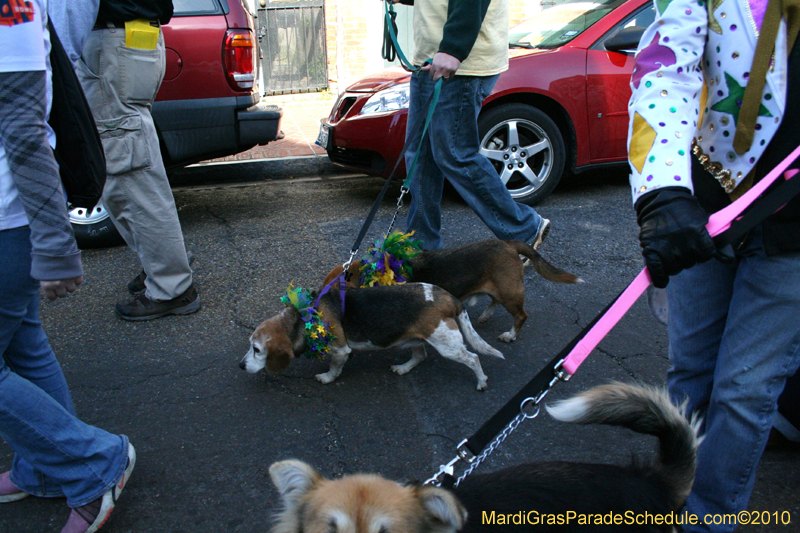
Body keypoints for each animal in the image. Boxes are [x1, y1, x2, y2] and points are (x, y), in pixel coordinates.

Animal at [241, 280, 504, 388]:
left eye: (257, 350)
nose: (240, 366)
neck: (302, 318)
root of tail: (448, 297)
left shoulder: (340, 349)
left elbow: (335, 368)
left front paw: (327, 378)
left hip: (447, 344)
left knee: (473, 358)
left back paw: (481, 381)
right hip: (416, 338)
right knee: (420, 356)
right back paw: (403, 368)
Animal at [324, 237, 580, 340]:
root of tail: (508, 243)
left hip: (510, 293)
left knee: (521, 316)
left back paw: (510, 335)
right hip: (501, 288)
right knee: (494, 300)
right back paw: (486, 315)